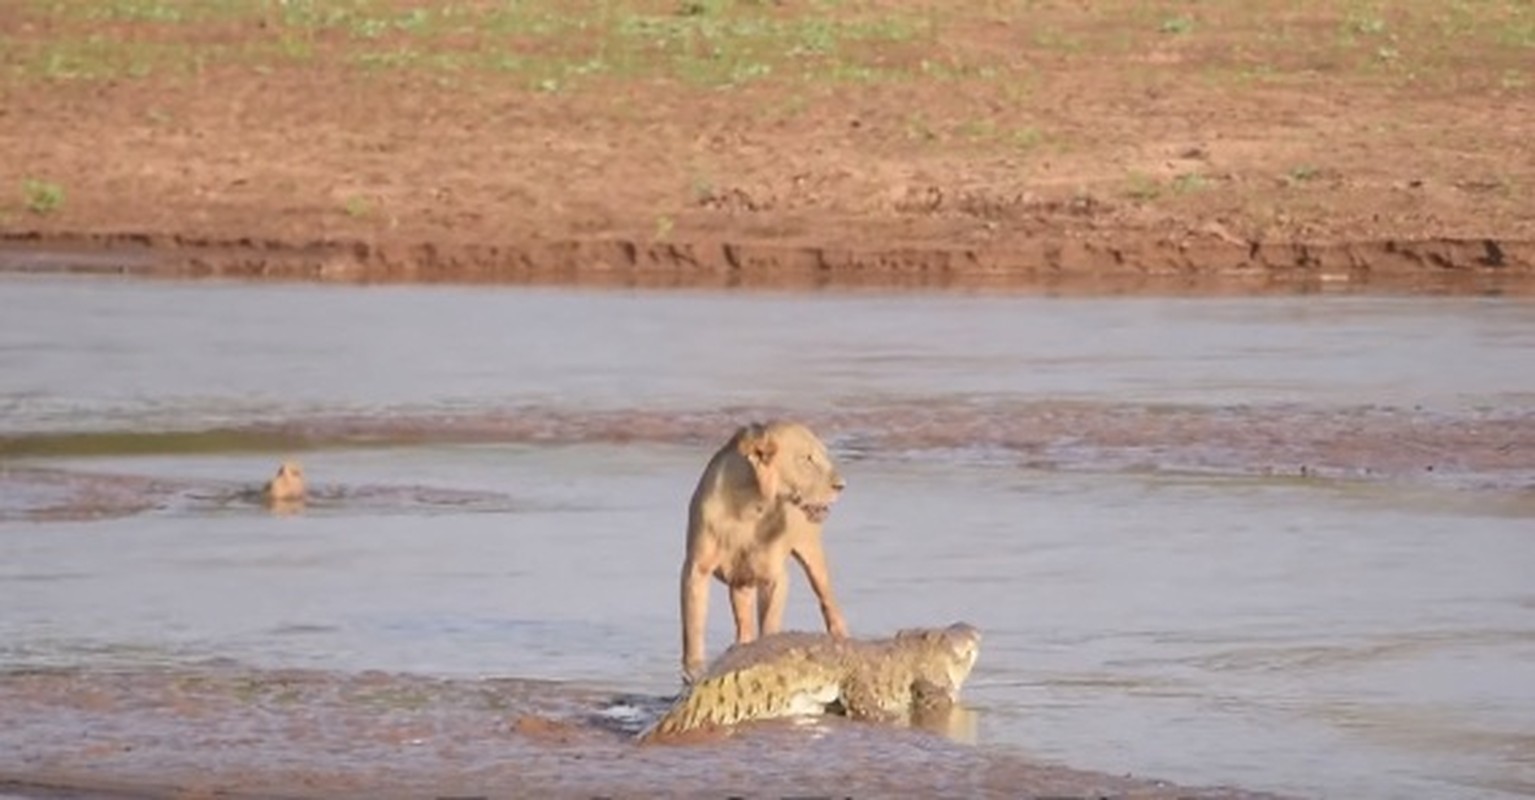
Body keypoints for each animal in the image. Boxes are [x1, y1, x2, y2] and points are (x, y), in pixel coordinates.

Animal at [684, 420, 853, 681]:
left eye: (824, 455)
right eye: (807, 458)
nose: (841, 486)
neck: (747, 508)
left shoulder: (775, 577)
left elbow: (770, 623)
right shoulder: (696, 570)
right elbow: (692, 626)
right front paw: (694, 671)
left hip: (812, 554)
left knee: (828, 602)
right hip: (741, 581)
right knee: (744, 624)